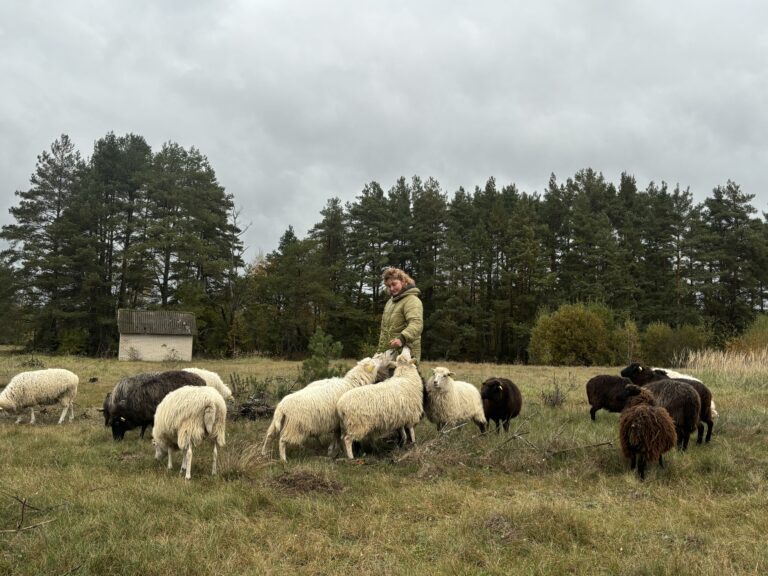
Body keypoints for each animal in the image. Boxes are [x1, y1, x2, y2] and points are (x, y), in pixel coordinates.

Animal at [260, 354, 390, 462]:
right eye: (375, 359)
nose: (383, 355)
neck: (351, 383)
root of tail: (282, 407)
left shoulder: (336, 420)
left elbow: (336, 435)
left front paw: (333, 450)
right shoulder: (340, 420)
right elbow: (338, 435)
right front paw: (335, 449)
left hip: (279, 423)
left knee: (269, 435)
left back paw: (264, 453)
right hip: (295, 426)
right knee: (282, 441)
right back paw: (283, 459)